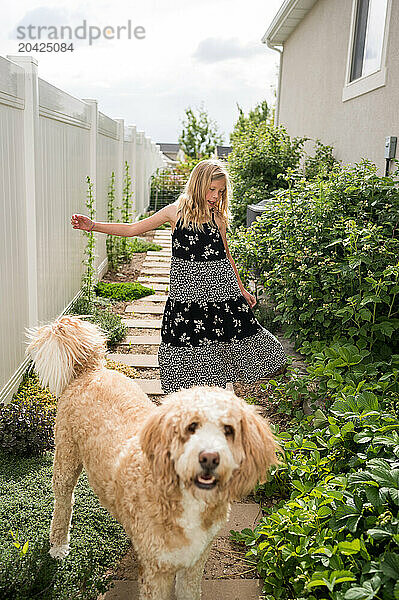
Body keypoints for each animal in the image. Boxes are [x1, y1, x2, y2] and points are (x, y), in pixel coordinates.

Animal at [26, 316, 280, 596]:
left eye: (229, 430)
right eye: (190, 427)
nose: (209, 458)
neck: (187, 498)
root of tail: (90, 370)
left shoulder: (194, 563)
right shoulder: (157, 571)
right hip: (66, 456)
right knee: (63, 501)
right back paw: (58, 546)